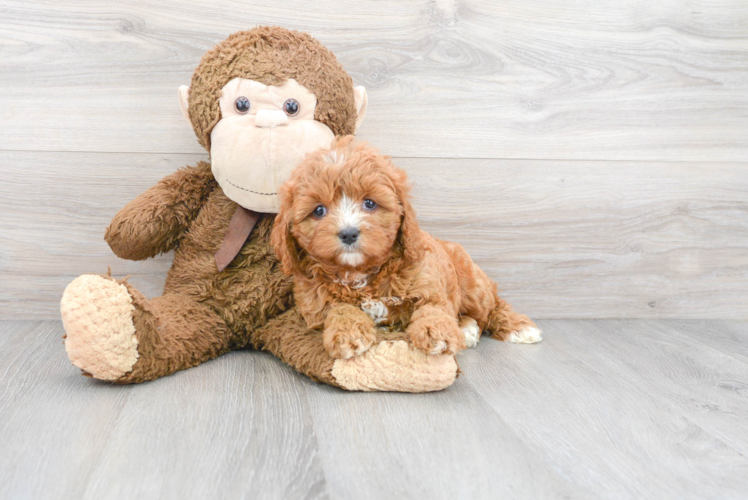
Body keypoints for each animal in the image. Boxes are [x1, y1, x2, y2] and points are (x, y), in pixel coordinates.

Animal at [272, 137, 540, 360]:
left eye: (370, 203)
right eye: (319, 210)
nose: (348, 233)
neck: (360, 273)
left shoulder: (427, 283)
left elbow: (433, 308)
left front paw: (436, 332)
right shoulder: (315, 304)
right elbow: (339, 309)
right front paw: (349, 333)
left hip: (473, 285)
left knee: (492, 306)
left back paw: (517, 327)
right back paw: (467, 328)